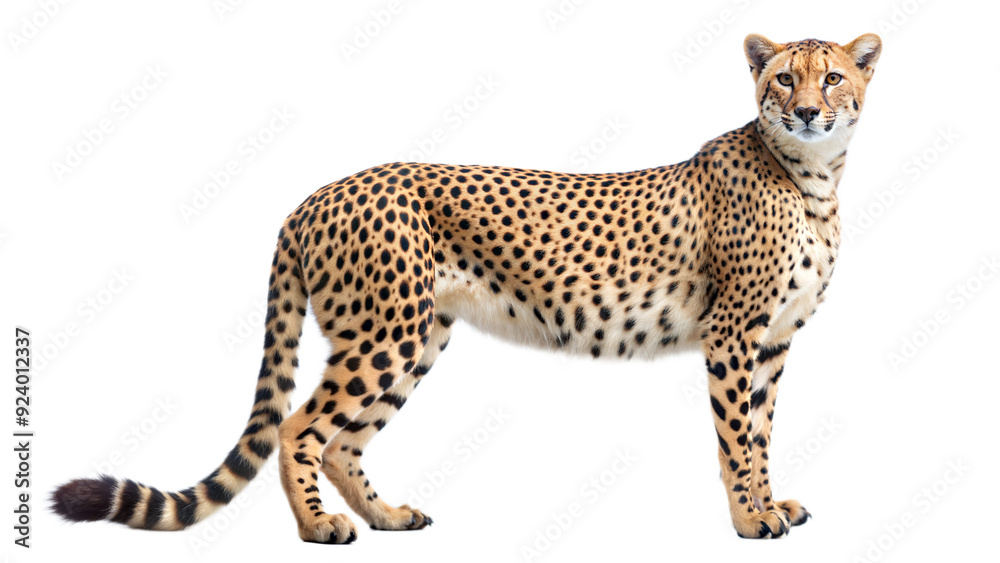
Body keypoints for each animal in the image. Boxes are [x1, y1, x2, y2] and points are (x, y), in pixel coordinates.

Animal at [52, 33, 881, 541]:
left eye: (834, 76)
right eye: (784, 77)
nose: (810, 111)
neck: (812, 176)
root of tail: (316, 192)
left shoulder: (772, 339)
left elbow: (761, 429)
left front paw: (772, 502)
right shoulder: (734, 333)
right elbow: (737, 434)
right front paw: (750, 519)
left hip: (416, 335)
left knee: (342, 441)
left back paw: (385, 515)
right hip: (382, 334)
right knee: (298, 427)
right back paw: (318, 528)